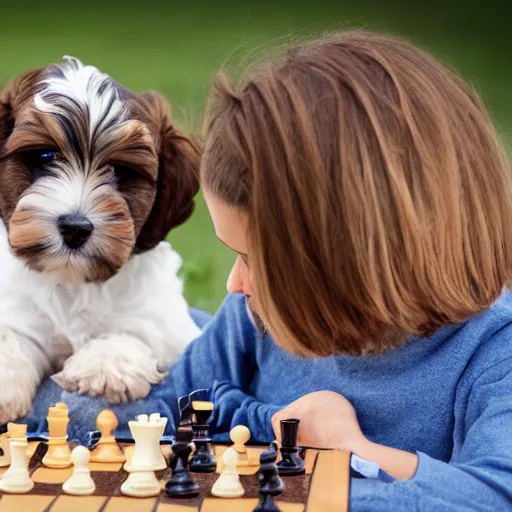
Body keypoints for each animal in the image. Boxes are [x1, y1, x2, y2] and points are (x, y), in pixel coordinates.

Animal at [0, 56, 202, 424]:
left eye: (119, 171)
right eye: (45, 157)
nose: (75, 227)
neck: (73, 282)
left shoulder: (170, 324)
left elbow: (140, 327)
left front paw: (105, 364)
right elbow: (10, 330)